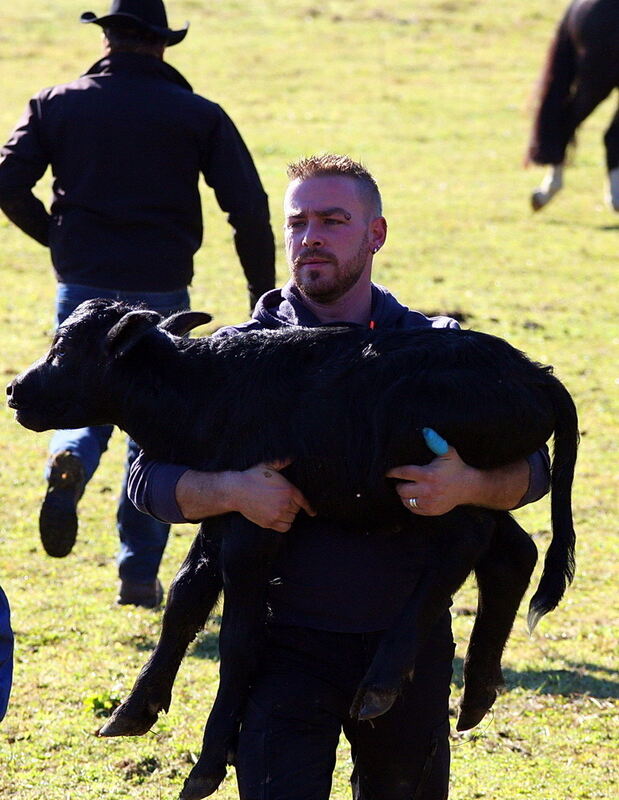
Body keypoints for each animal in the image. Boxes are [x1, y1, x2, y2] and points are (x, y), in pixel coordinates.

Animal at [7, 300, 580, 800]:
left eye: (64, 347)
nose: (14, 390)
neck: (205, 388)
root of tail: (534, 373)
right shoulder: (224, 510)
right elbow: (184, 601)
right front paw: (135, 707)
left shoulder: (254, 530)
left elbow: (238, 641)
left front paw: (208, 762)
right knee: (515, 553)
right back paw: (478, 687)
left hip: (439, 486)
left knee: (464, 551)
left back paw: (382, 681)